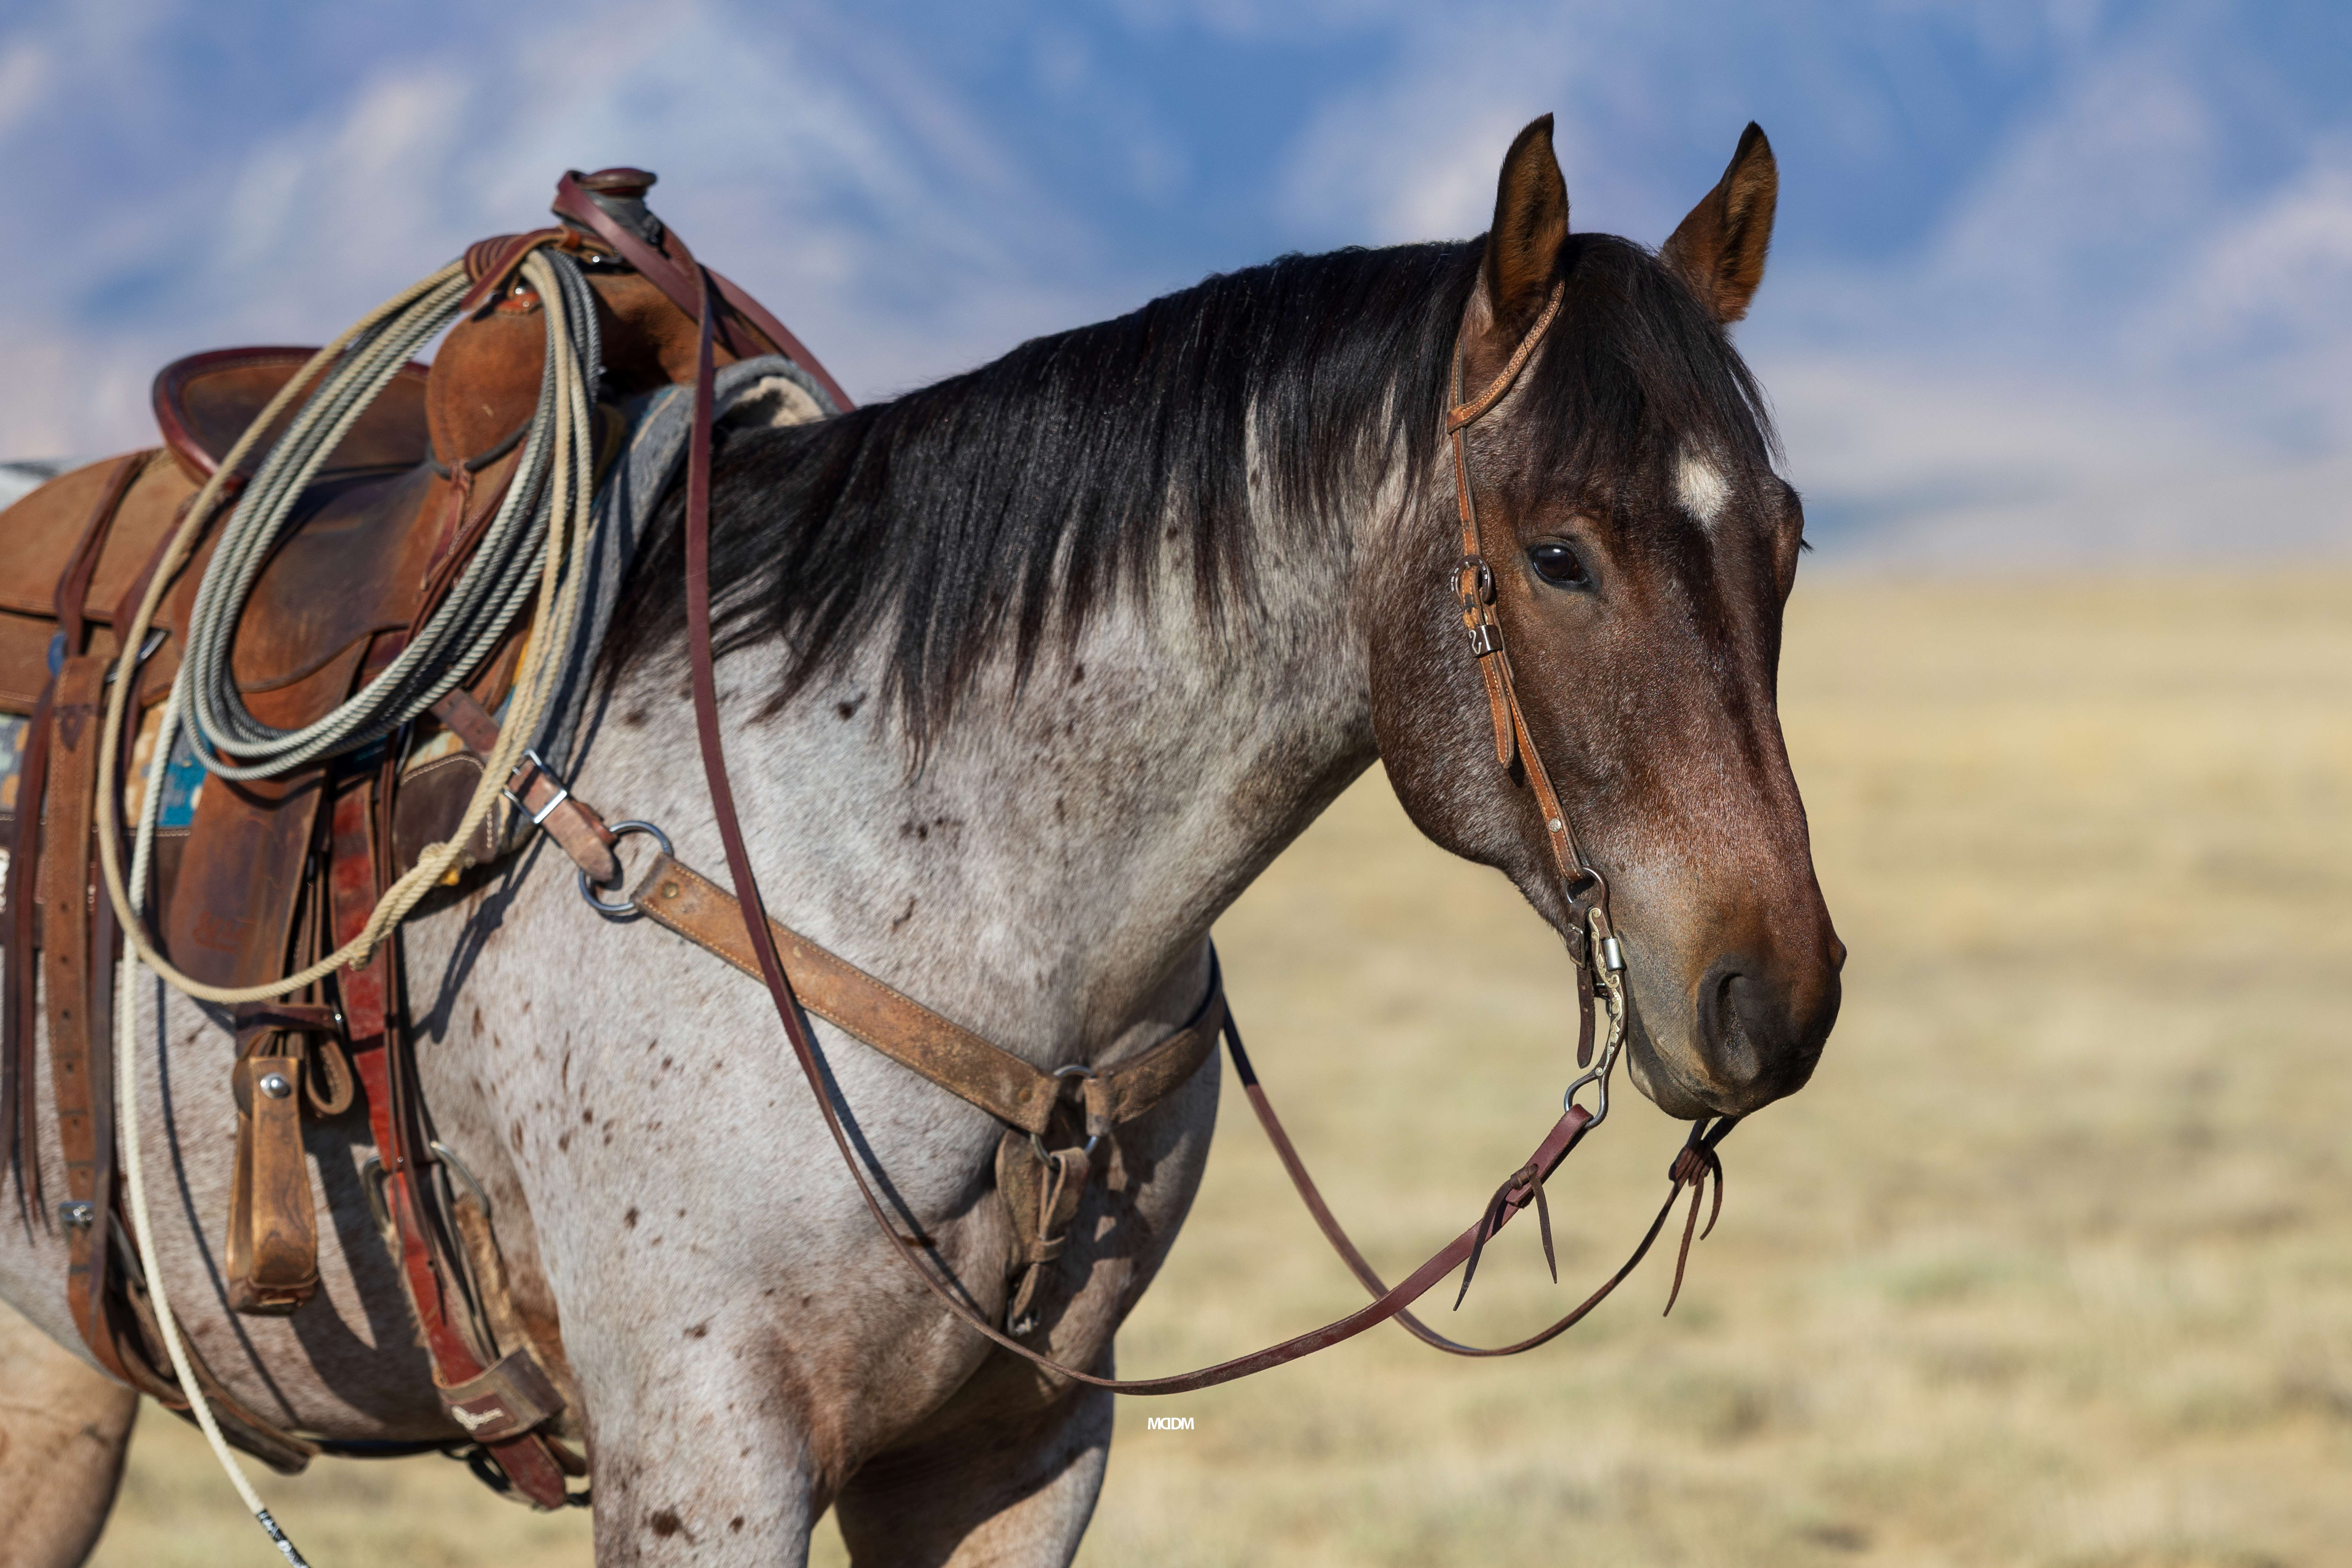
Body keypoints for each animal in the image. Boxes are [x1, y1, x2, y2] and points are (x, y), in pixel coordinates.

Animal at [0, 115, 1841, 1566]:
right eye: (1556, 554)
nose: (1772, 993)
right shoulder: (703, 1455)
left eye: (1787, 536)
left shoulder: (1014, 1454)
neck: (931, 868)